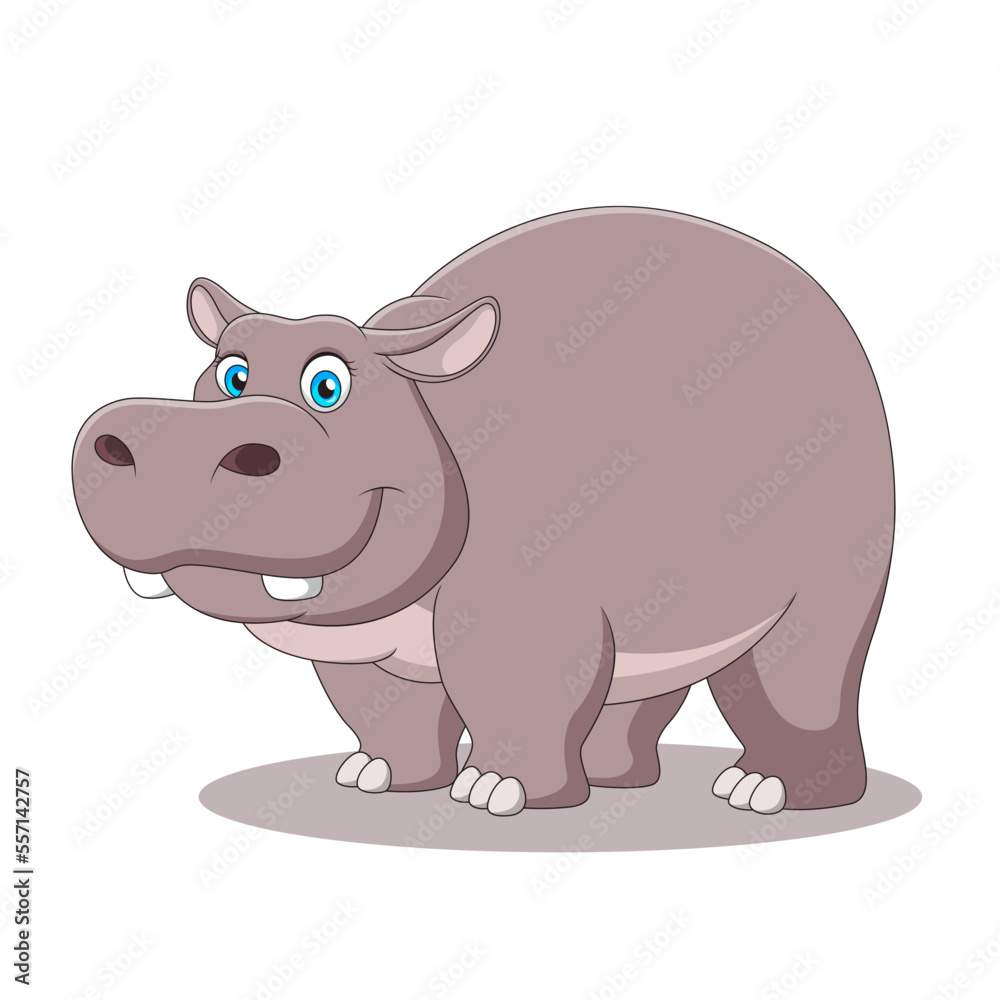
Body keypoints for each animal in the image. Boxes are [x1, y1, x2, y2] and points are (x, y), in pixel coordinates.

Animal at [72, 207, 893, 818]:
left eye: (329, 386)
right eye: (230, 374)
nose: (141, 431)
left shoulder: (524, 605)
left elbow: (518, 689)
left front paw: (500, 793)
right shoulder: (362, 645)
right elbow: (384, 709)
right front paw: (376, 777)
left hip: (833, 561)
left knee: (802, 669)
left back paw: (768, 790)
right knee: (643, 682)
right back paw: (615, 775)